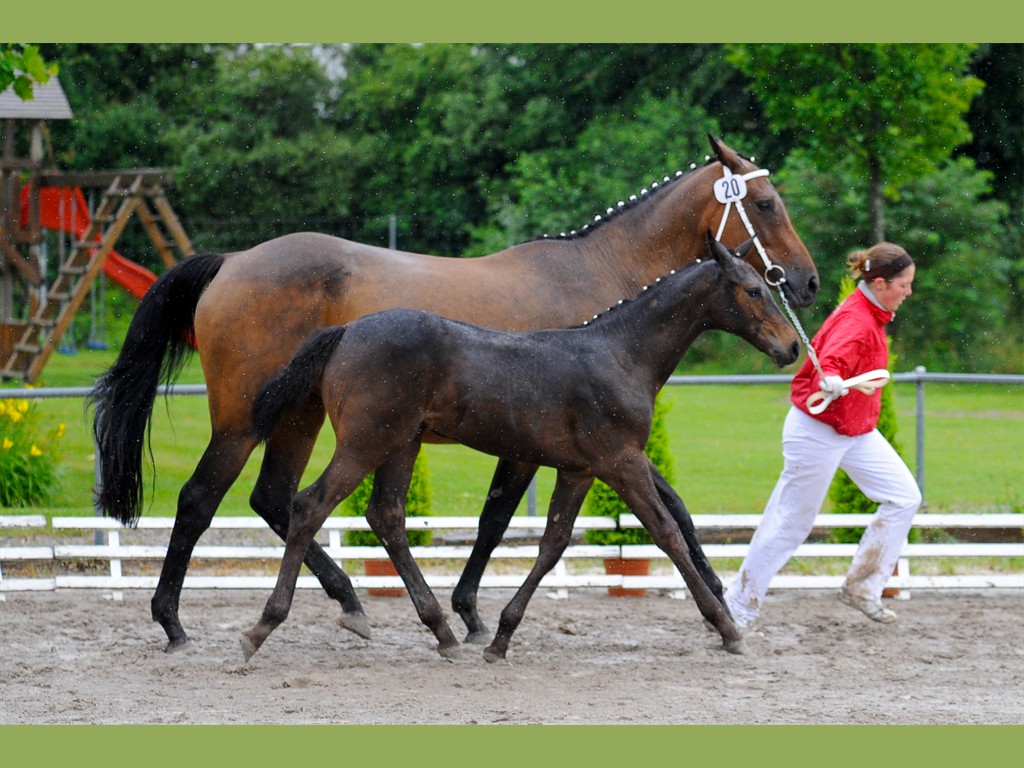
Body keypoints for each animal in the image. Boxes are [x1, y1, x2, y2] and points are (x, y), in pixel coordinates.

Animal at [241, 233, 798, 663]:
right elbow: (668, 533)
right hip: (365, 442)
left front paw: (501, 637)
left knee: (387, 516)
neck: (620, 353)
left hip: (400, 445)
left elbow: (553, 544)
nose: (790, 346)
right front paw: (727, 629)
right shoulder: (620, 462)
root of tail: (344, 333)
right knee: (309, 505)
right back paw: (265, 627)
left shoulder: (580, 470)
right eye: (753, 290)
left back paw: (443, 632)